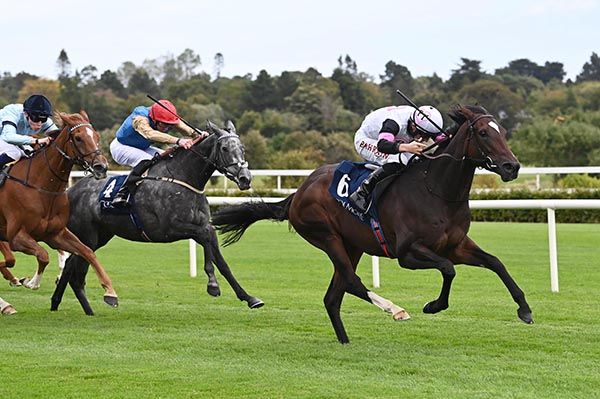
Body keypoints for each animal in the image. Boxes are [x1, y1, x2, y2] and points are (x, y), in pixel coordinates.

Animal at [0, 112, 115, 316]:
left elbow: (87, 252)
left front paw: (110, 291)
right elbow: (43, 255)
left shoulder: (55, 234)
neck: (41, 187)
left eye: (96, 136)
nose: (101, 167)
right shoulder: (16, 236)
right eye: (78, 138)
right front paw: (31, 282)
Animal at [52, 121, 264, 316]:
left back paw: (58, 304)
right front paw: (212, 284)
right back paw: (86, 307)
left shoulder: (204, 226)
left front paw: (249, 298)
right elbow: (204, 238)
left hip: (100, 236)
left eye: (242, 148)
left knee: (70, 267)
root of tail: (69, 192)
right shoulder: (170, 229)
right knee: (75, 272)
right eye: (225, 148)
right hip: (88, 236)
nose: (245, 178)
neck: (183, 177)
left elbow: (222, 262)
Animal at [213, 105, 532, 344]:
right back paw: (395, 309)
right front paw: (434, 305)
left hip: (352, 245)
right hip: (326, 236)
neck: (437, 191)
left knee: (333, 296)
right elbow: (448, 269)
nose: (511, 166)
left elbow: (495, 262)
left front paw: (525, 309)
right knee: (352, 282)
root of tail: (298, 193)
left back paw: (345, 341)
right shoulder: (408, 253)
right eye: (483, 133)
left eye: (504, 132)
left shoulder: (456, 245)